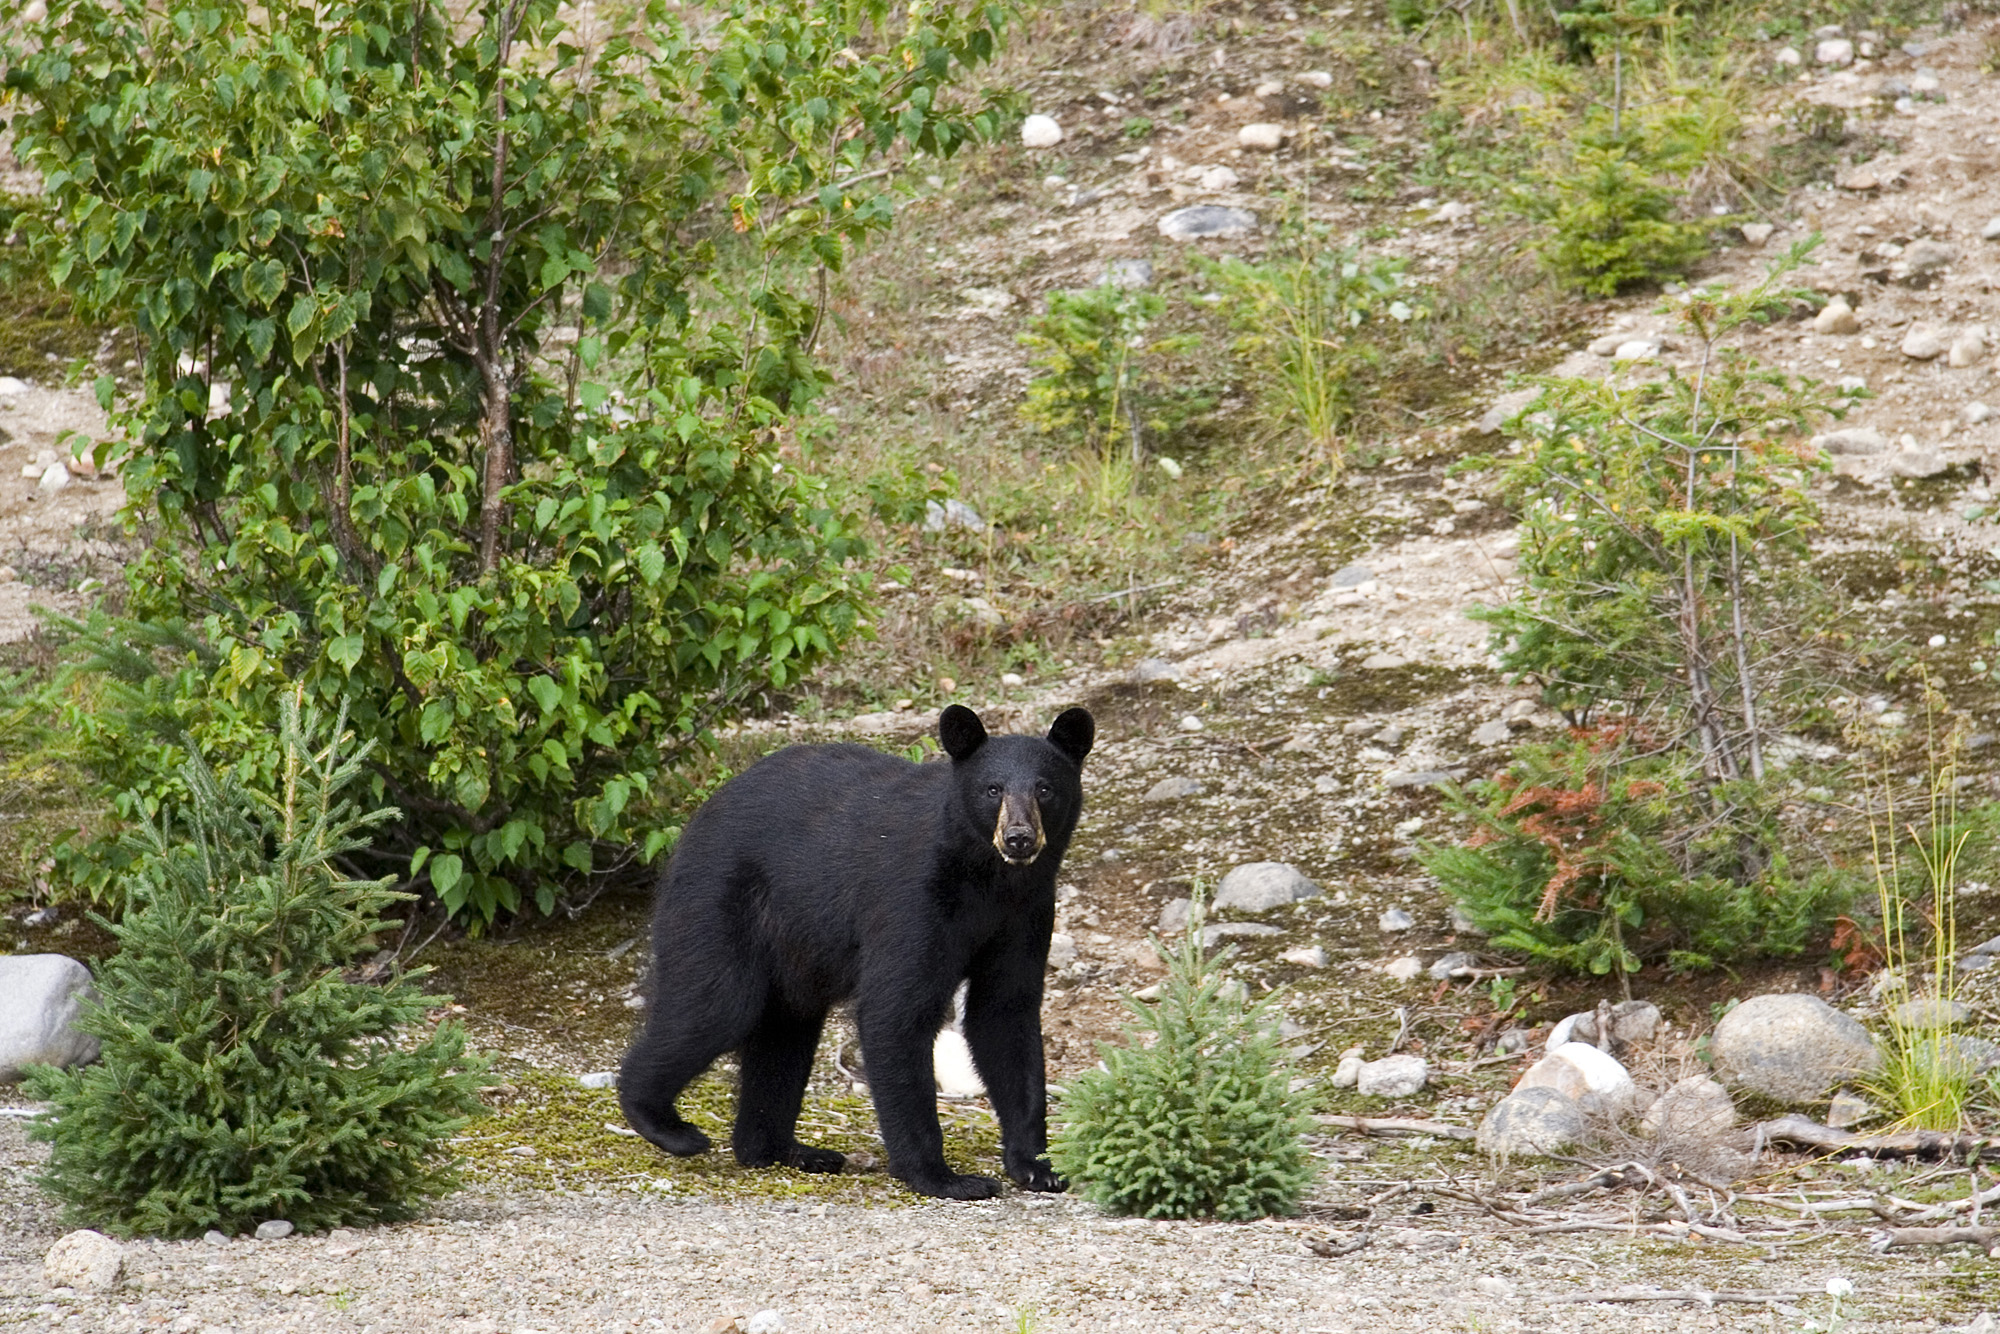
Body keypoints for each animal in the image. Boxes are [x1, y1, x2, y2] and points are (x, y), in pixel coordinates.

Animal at [618, 703, 1095, 1200]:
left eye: (1045, 789)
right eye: (993, 789)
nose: (1019, 837)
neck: (988, 879)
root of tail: (696, 820)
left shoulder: (1027, 912)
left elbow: (1005, 1013)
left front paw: (1036, 1165)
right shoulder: (913, 900)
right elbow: (897, 1009)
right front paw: (943, 1176)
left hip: (792, 951)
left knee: (785, 1032)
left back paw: (784, 1150)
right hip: (721, 901)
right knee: (716, 1003)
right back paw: (664, 1123)